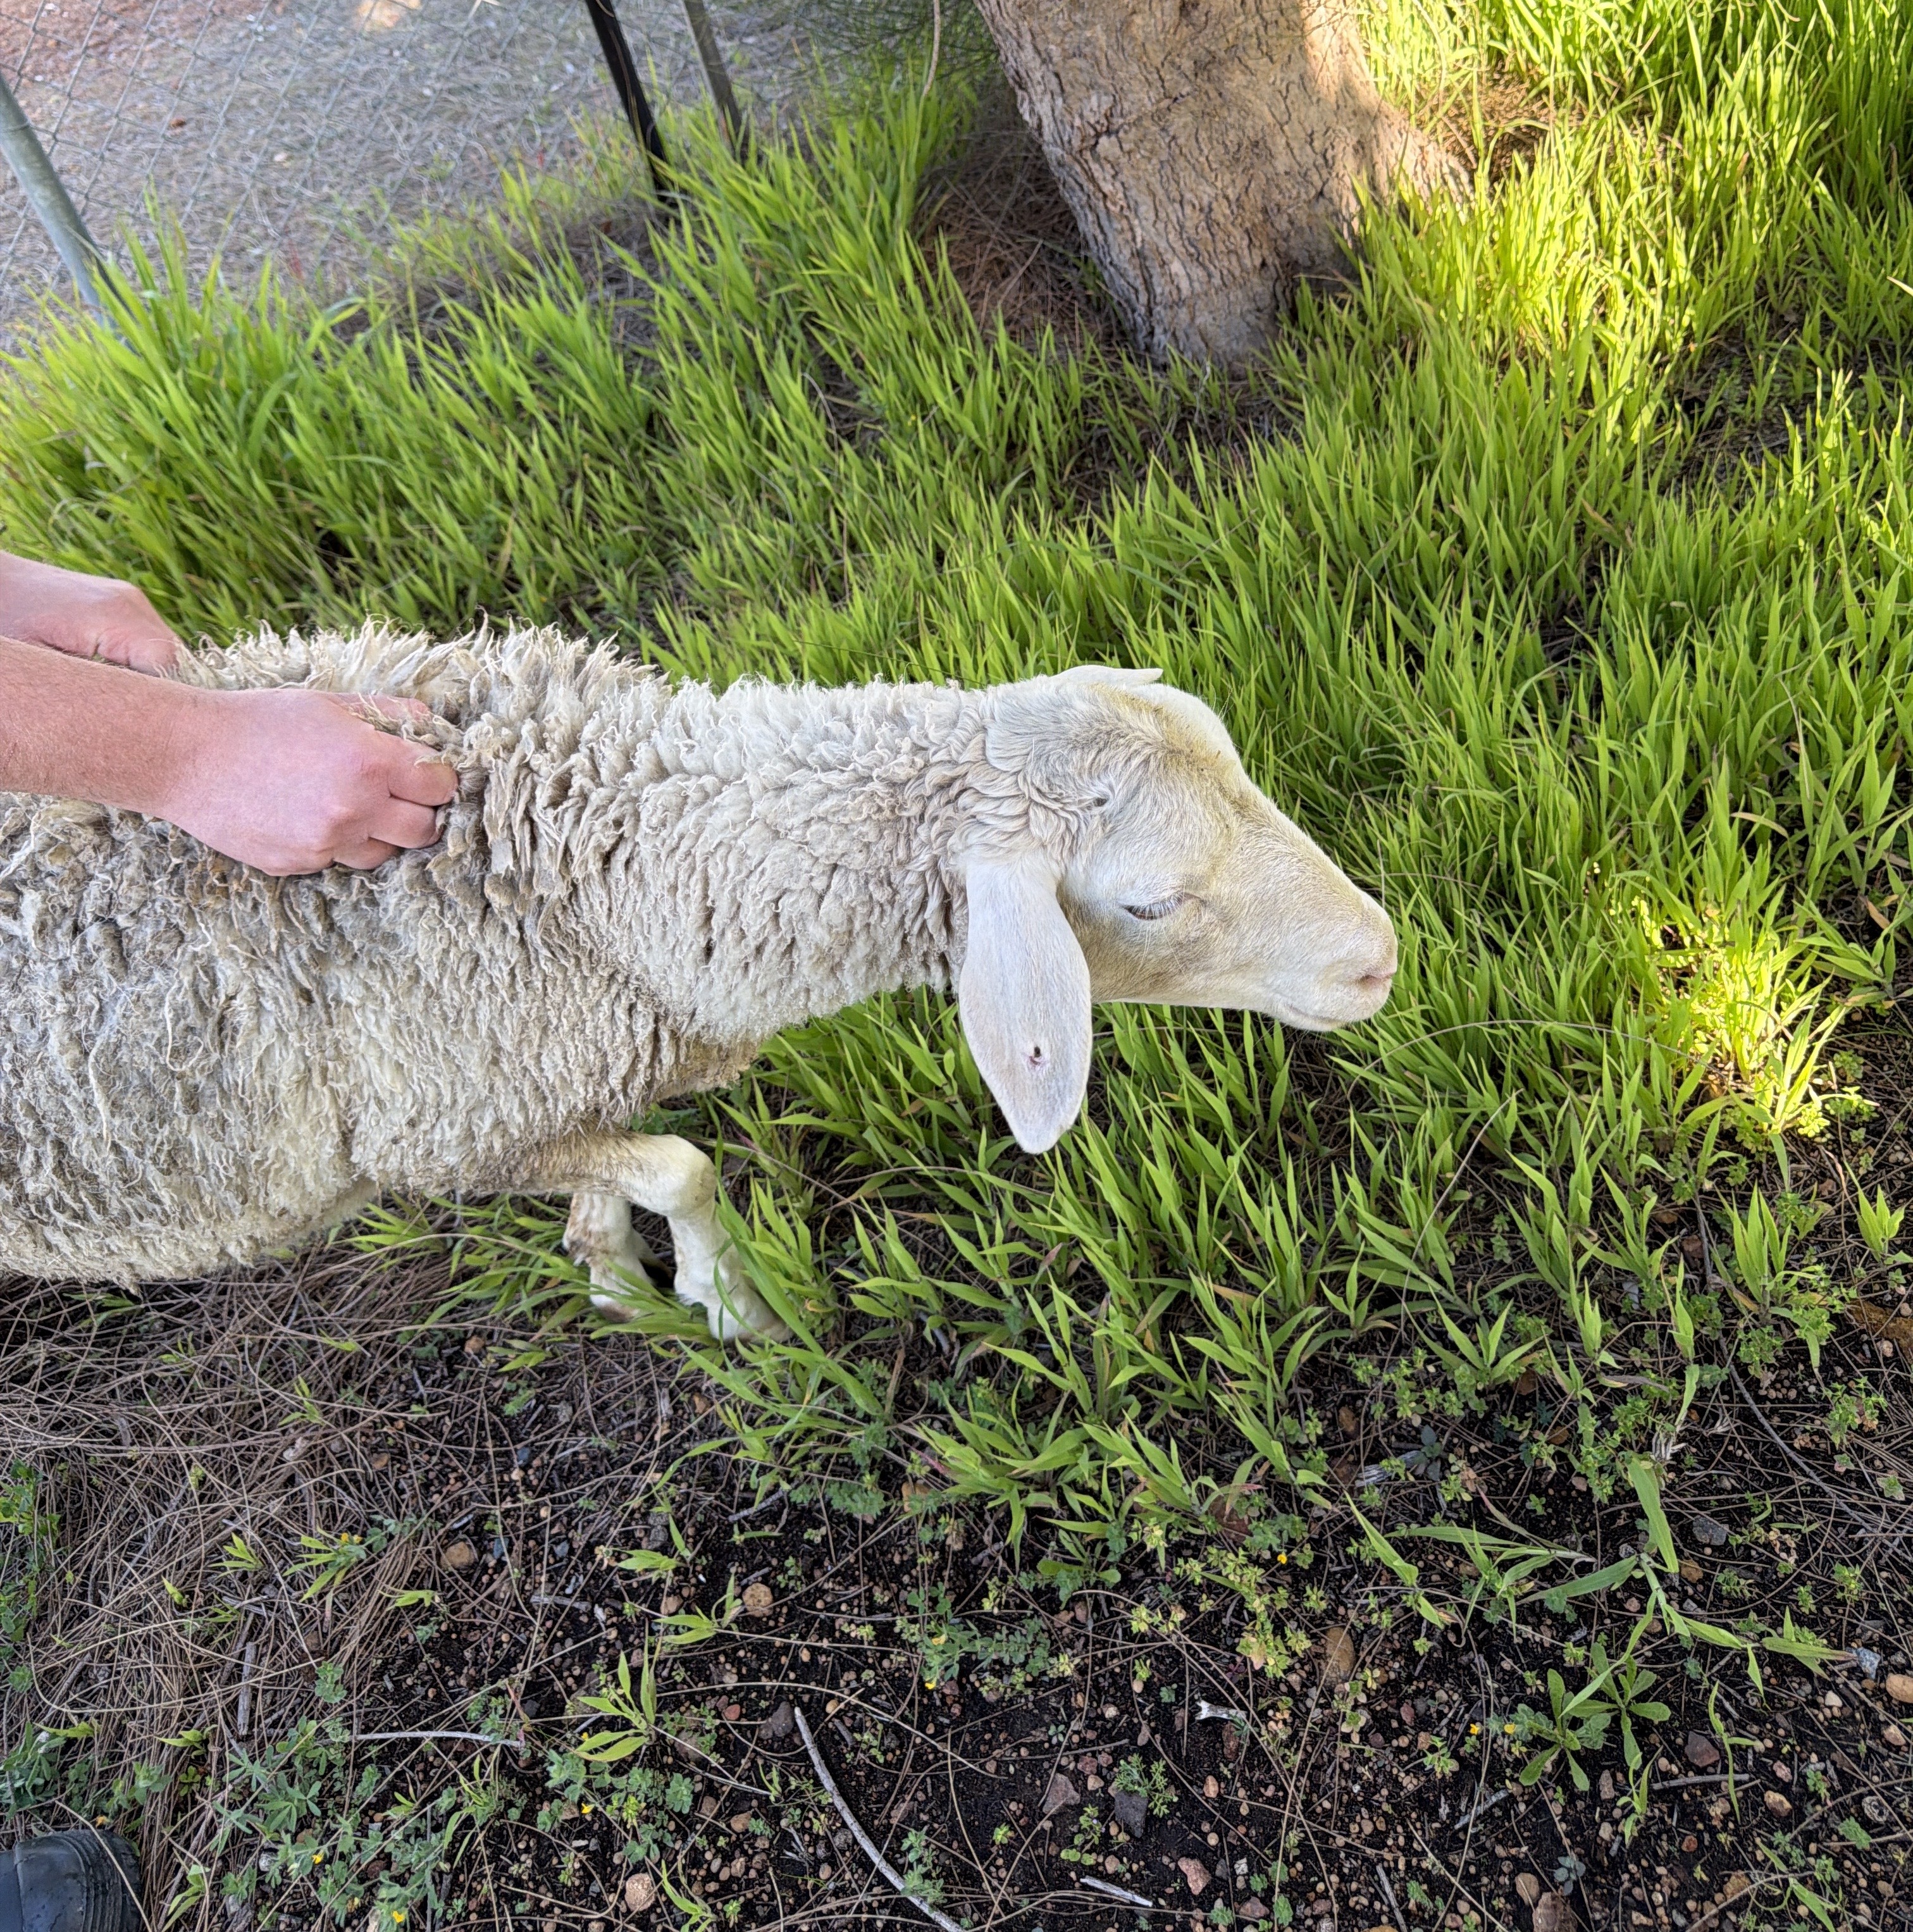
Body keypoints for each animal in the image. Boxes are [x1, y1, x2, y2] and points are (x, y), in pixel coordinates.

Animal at [0, 624, 1397, 1338]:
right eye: (1151, 899)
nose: (1378, 958)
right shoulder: (436, 1134)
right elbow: (682, 1164)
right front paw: (729, 1303)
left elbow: (624, 1174)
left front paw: (610, 1269)